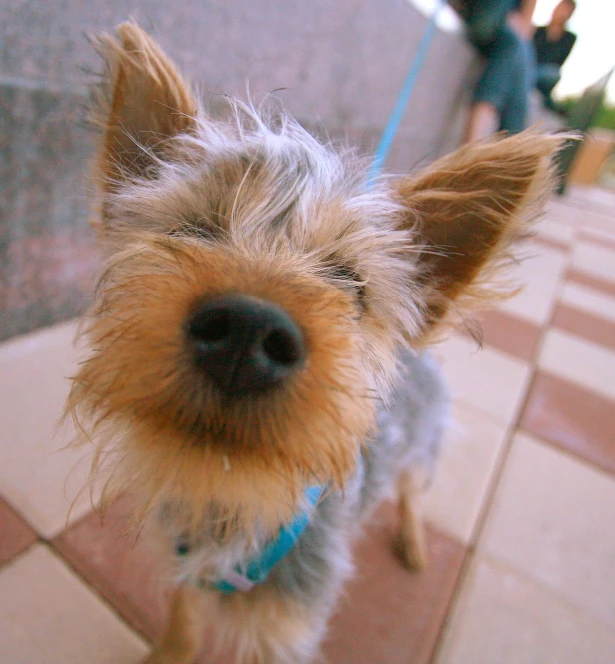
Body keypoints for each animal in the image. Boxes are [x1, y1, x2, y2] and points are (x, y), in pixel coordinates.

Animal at [66, 22, 560, 664]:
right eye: (191, 231)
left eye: (351, 282)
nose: (247, 331)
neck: (232, 505)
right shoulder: (186, 572)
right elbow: (182, 622)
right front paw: (168, 652)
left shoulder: (284, 627)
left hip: (423, 448)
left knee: (412, 490)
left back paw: (413, 539)